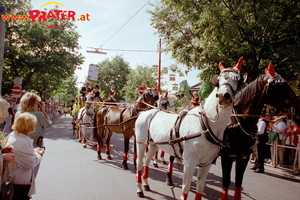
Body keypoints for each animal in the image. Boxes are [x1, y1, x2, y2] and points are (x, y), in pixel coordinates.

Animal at [135, 57, 245, 199]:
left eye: (238, 79)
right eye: (219, 80)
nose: (223, 96)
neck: (206, 125)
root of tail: (146, 113)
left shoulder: (206, 164)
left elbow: (200, 188)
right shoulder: (189, 162)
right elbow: (186, 188)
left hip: (154, 144)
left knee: (146, 161)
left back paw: (146, 184)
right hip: (141, 143)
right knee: (139, 163)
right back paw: (139, 189)